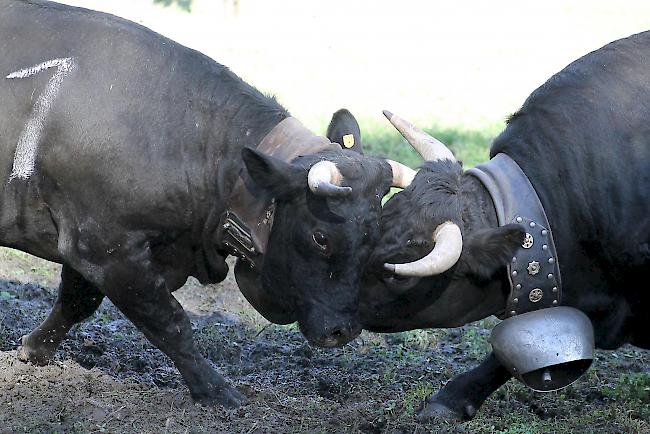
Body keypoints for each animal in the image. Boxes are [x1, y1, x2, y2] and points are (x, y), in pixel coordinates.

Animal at [0, 0, 398, 406]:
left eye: (377, 229)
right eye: (321, 237)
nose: (343, 330)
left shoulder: (94, 244)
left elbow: (77, 302)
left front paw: (33, 350)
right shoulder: (105, 248)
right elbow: (171, 323)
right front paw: (217, 391)